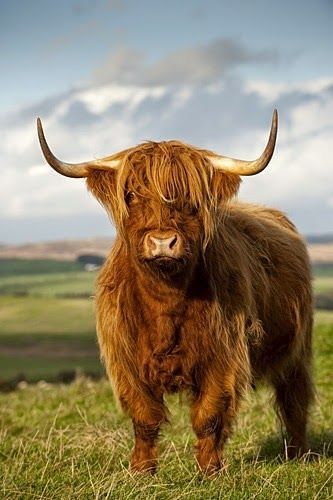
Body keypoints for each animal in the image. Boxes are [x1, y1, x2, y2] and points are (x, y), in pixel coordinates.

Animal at [37, 110, 312, 476]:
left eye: (190, 201)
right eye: (132, 196)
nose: (163, 242)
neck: (165, 300)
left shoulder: (223, 356)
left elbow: (209, 415)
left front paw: (210, 471)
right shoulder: (126, 361)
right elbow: (144, 418)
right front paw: (141, 471)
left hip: (298, 350)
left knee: (295, 400)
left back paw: (298, 454)